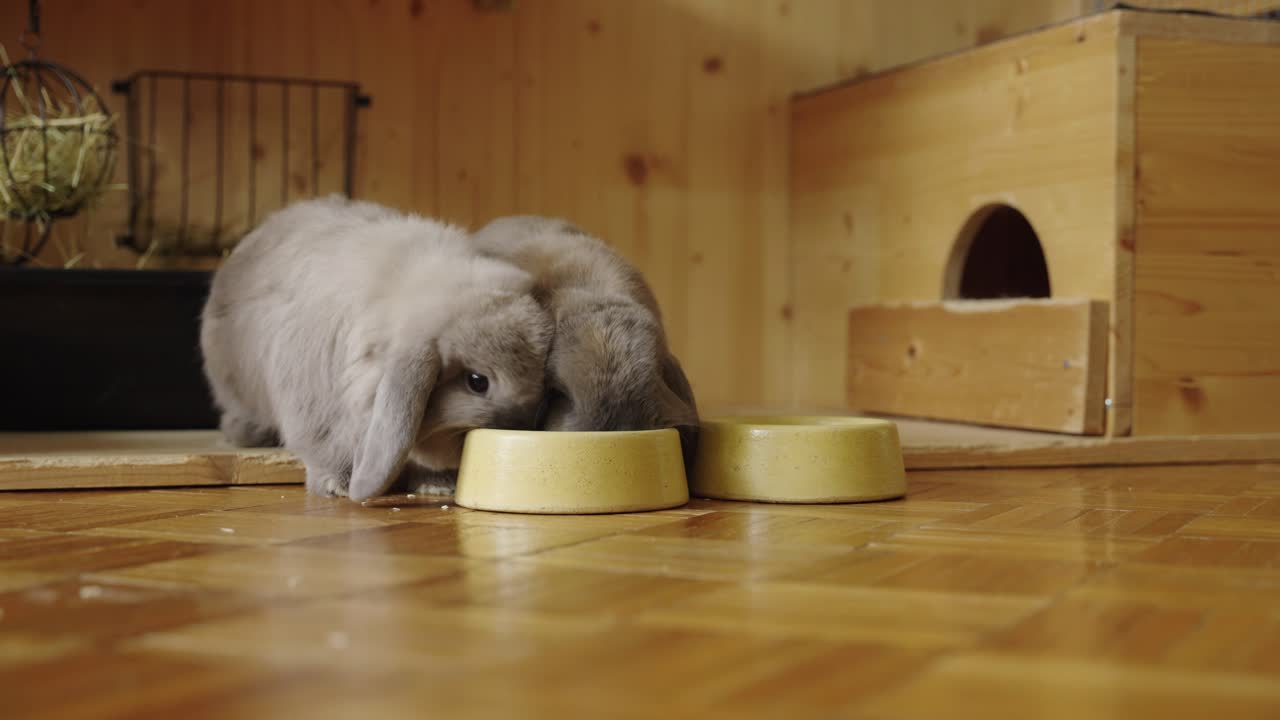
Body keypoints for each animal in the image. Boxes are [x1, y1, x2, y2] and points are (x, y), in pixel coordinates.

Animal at [200, 196, 554, 502]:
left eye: (540, 372)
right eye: (477, 382)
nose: (522, 425)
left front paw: (439, 486)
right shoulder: (316, 413)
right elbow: (324, 448)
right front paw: (339, 486)